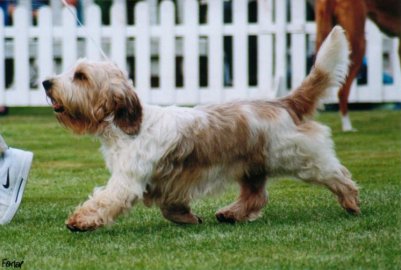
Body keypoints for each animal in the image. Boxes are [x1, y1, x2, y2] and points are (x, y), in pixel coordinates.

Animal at [43, 26, 360, 231]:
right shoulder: (164, 182)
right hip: (252, 167)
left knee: (338, 174)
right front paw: (188, 218)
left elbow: (104, 201)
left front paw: (80, 221)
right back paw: (231, 214)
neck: (123, 127)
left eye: (80, 76)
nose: (46, 82)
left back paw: (351, 201)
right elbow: (170, 206)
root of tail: (283, 102)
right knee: (256, 196)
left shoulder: (126, 181)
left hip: (301, 158)